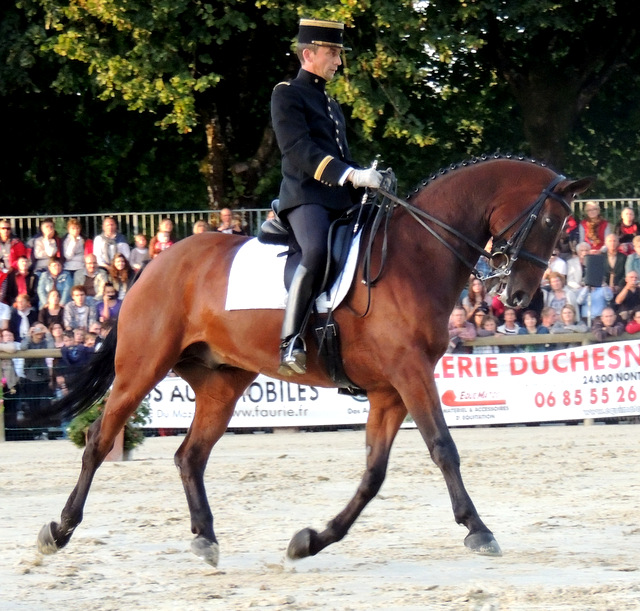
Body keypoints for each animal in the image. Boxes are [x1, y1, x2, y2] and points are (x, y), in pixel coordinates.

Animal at [37, 155, 592, 568]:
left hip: (223, 382)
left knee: (190, 455)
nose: (517, 297)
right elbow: (443, 448)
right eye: (548, 220)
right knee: (99, 440)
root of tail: (151, 264)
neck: (417, 254)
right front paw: (478, 529)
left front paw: (310, 540)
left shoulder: (389, 390)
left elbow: (373, 474)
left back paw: (205, 538)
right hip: (142, 368)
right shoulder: (410, 374)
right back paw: (58, 530)